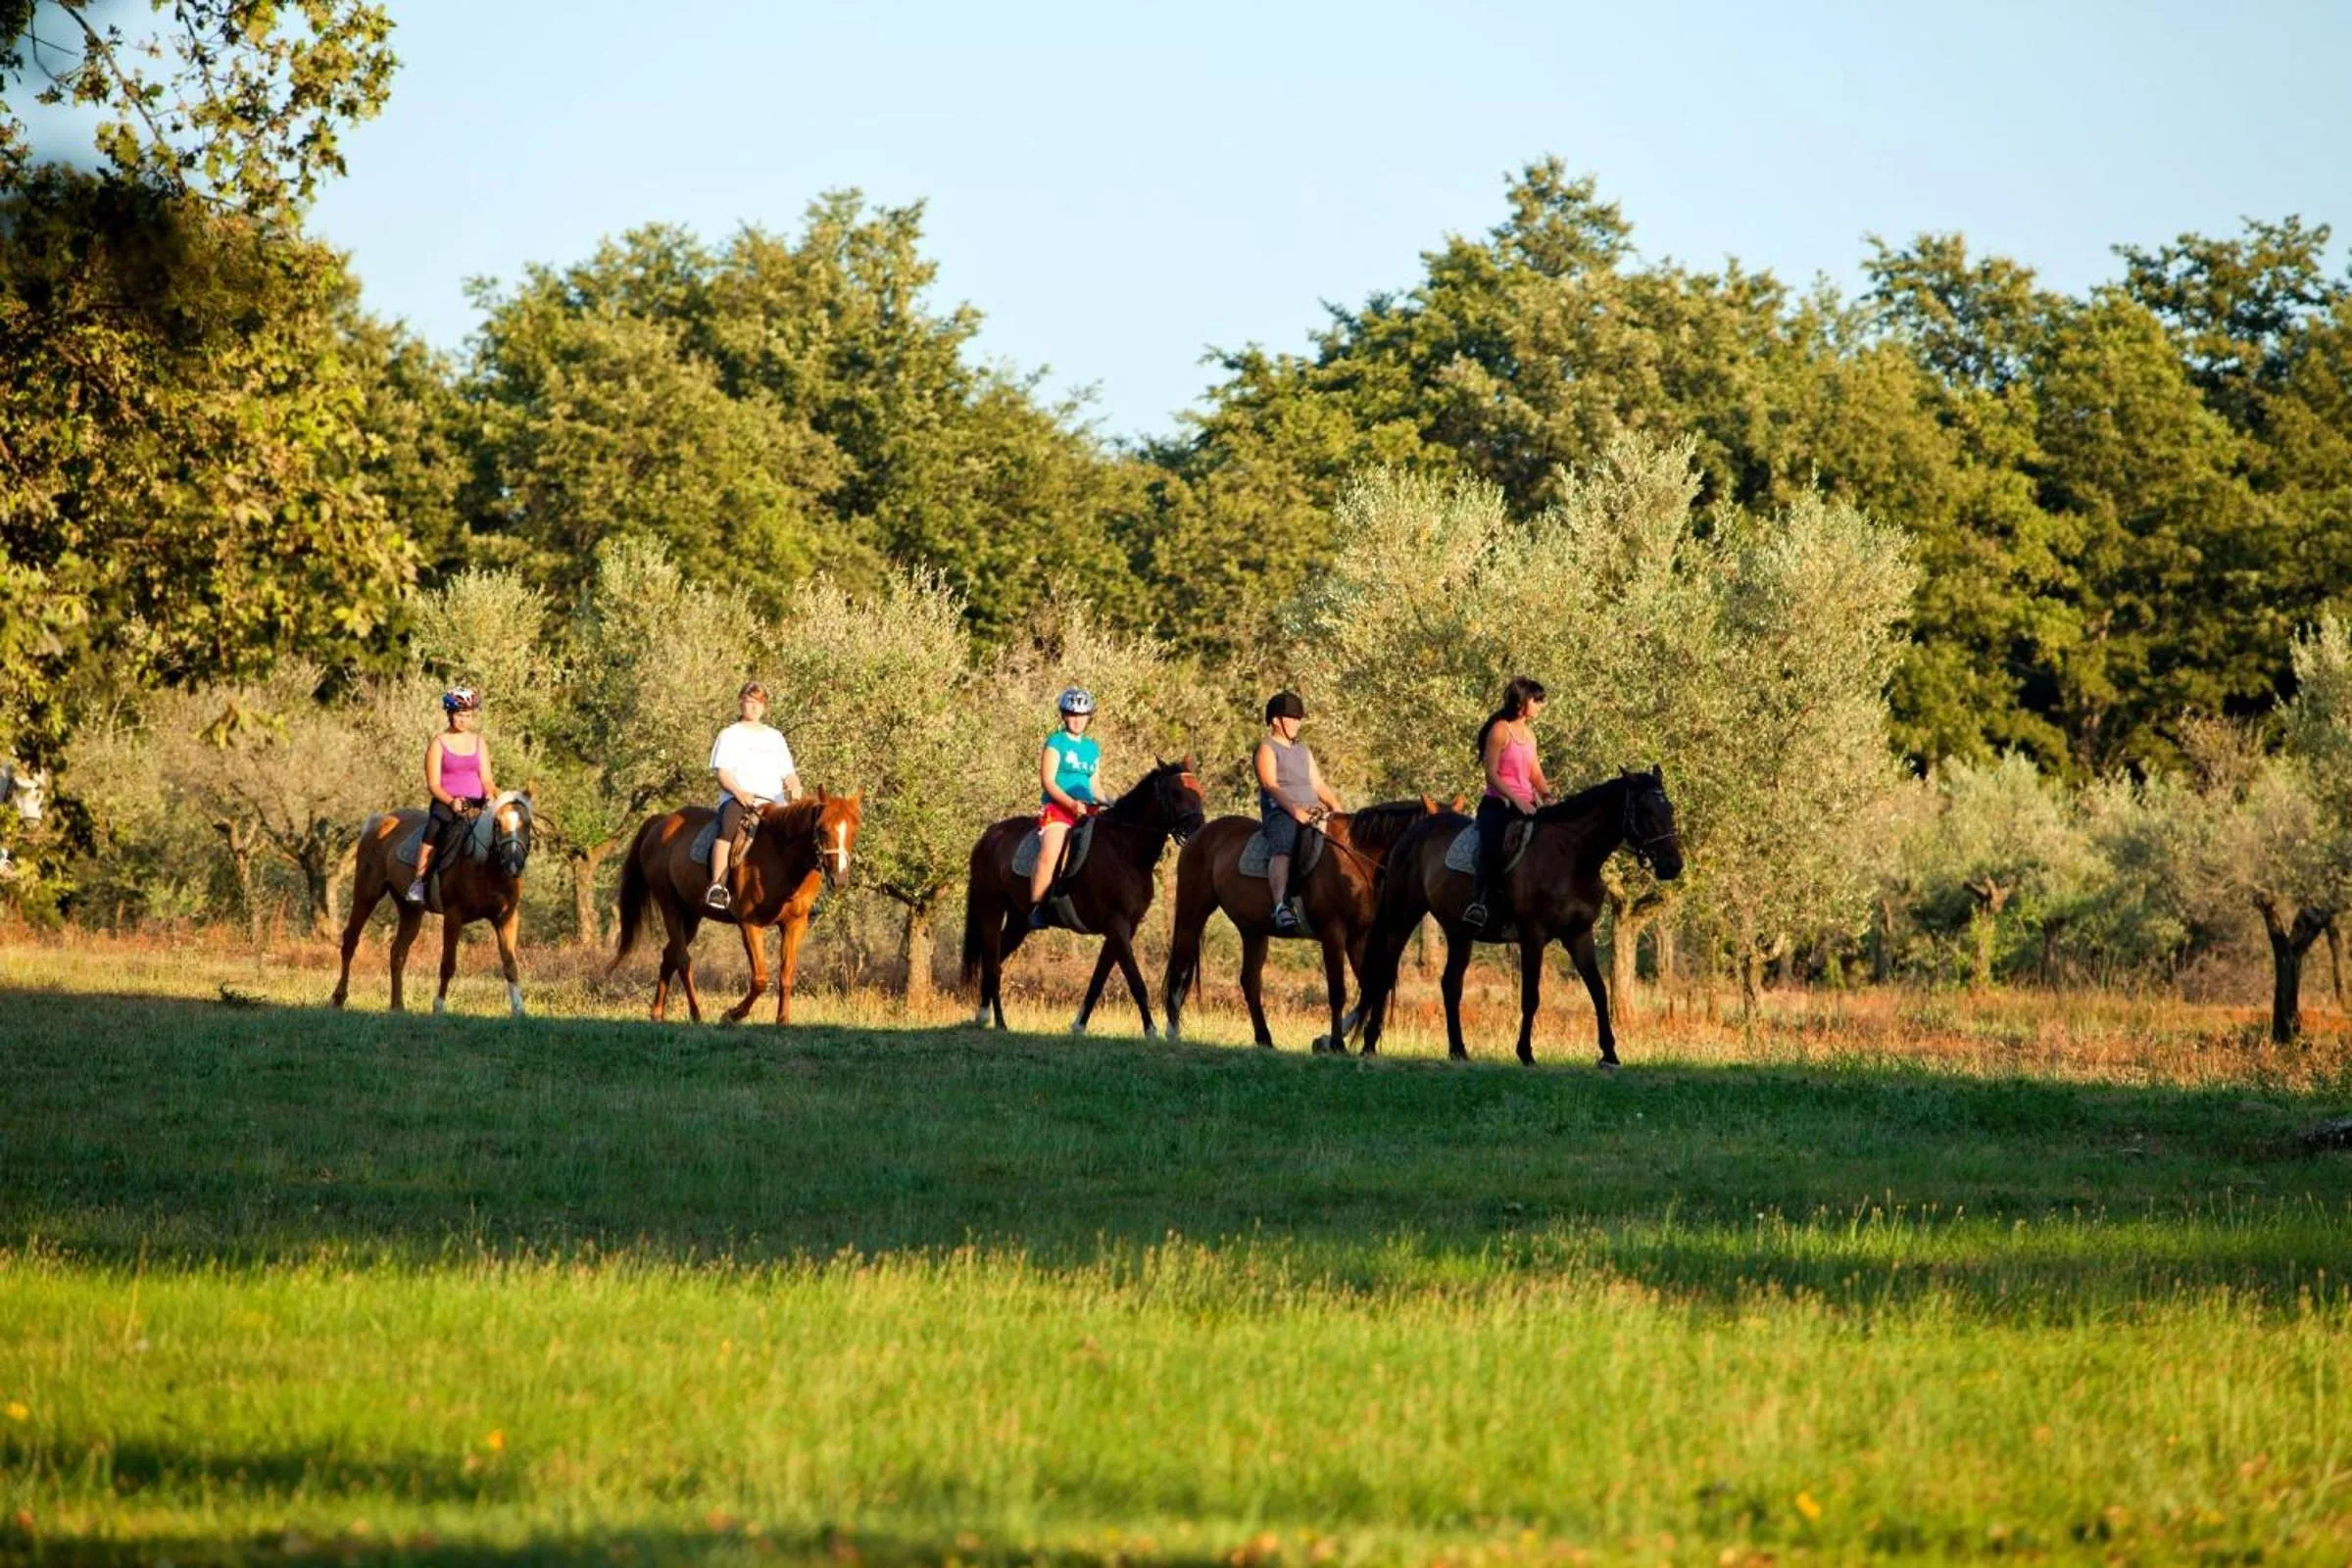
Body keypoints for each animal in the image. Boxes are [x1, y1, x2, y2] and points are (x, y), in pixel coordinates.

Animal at [332, 793, 536, 1016]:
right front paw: (438, 1006)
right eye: (497, 823)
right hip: (366, 895)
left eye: (528, 823)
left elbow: (510, 964)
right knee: (350, 941)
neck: (485, 867)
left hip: (410, 910)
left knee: (397, 953)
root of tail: (378, 822)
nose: (513, 864)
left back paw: (397, 1006)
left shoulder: (506, 918)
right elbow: (447, 964)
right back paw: (338, 998)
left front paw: (519, 1010)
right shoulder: (454, 916)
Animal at [612, 790, 863, 1025]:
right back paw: (695, 1013)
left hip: (691, 915)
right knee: (683, 960)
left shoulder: (795, 925)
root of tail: (662, 821)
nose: (839, 879)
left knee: (669, 956)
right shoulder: (750, 924)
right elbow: (760, 979)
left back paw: (657, 1012)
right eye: (822, 830)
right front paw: (732, 1014)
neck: (782, 857)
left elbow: (786, 974)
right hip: (670, 908)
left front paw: (782, 1020)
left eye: (853, 831)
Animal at [960, 759, 1207, 1037]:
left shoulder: (1124, 928)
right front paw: (1150, 1030)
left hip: (1018, 921)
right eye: (1175, 793)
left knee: (994, 962)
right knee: (992, 964)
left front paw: (1079, 1025)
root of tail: (989, 836)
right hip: (991, 908)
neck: (1125, 850)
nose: (1198, 829)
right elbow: (1135, 981)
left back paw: (984, 1016)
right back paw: (999, 1023)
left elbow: (1098, 980)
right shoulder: (1117, 925)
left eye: (1199, 790)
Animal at [1162, 798, 1440, 1052]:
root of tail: (1199, 835)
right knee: (1180, 966)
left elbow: (1370, 987)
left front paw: (1330, 1041)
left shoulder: (1358, 938)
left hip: (1253, 931)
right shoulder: (1333, 934)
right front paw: (1336, 1043)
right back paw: (1172, 1032)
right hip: (1192, 912)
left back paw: (1264, 1039)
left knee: (1250, 981)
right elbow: (1338, 991)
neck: (1354, 857)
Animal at [1355, 768, 1683, 1067]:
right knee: (1384, 974)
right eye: (1646, 810)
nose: (1673, 865)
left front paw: (1610, 1054)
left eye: (1670, 809)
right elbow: (1531, 995)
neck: (1570, 857)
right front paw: (1526, 1053)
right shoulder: (1532, 935)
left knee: (1450, 984)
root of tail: (1411, 834)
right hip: (1401, 916)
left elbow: (1599, 991)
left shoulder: (1579, 934)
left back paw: (1458, 1050)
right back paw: (1369, 1045)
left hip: (1459, 932)